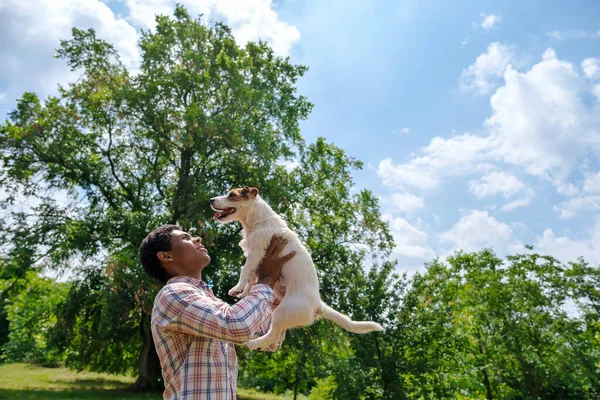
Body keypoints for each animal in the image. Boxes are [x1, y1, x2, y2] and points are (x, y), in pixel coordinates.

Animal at [209, 186, 382, 348]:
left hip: (282, 312)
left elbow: (245, 270)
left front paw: (238, 288)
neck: (259, 221)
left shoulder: (256, 253)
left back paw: (253, 343)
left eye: (232, 195)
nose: (211, 200)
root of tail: (318, 304)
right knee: (278, 337)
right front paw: (244, 292)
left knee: (274, 335)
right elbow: (251, 277)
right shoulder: (254, 256)